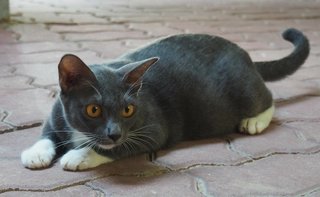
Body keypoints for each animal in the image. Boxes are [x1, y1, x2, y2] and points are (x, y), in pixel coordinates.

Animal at [21, 28, 308, 171]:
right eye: (93, 109)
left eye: (128, 110)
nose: (114, 133)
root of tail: (245, 55)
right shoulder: (56, 113)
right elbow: (47, 133)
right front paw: (36, 153)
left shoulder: (153, 129)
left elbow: (118, 147)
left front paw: (79, 156)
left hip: (244, 89)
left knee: (267, 97)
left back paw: (254, 121)